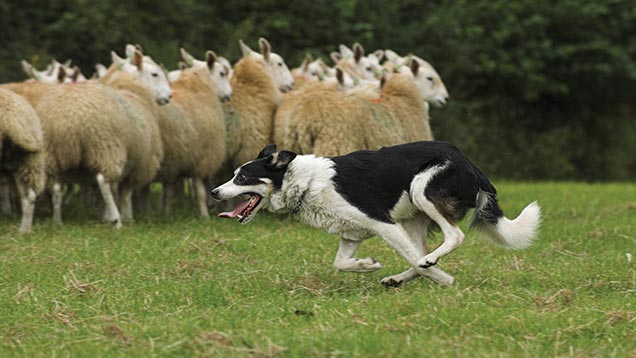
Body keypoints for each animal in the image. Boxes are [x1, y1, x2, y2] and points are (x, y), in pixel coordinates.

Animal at [211, 141, 540, 286]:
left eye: (242, 178)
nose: (215, 192)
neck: (305, 182)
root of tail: (471, 164)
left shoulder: (384, 224)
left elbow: (413, 258)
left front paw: (445, 280)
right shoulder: (351, 234)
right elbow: (341, 263)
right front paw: (367, 265)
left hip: (422, 191)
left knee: (450, 238)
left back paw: (431, 265)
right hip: (414, 217)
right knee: (420, 252)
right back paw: (398, 278)